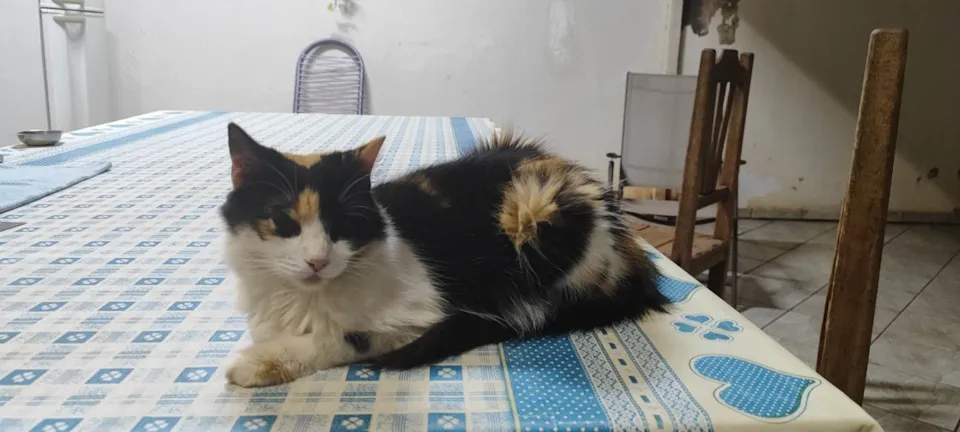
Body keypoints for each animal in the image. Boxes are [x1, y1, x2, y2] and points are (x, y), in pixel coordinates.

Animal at [220, 123, 667, 388]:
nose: (317, 261)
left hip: (534, 208)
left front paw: (254, 365)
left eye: (343, 225)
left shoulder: (416, 317)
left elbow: (343, 337)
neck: (301, 299)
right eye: (283, 221)